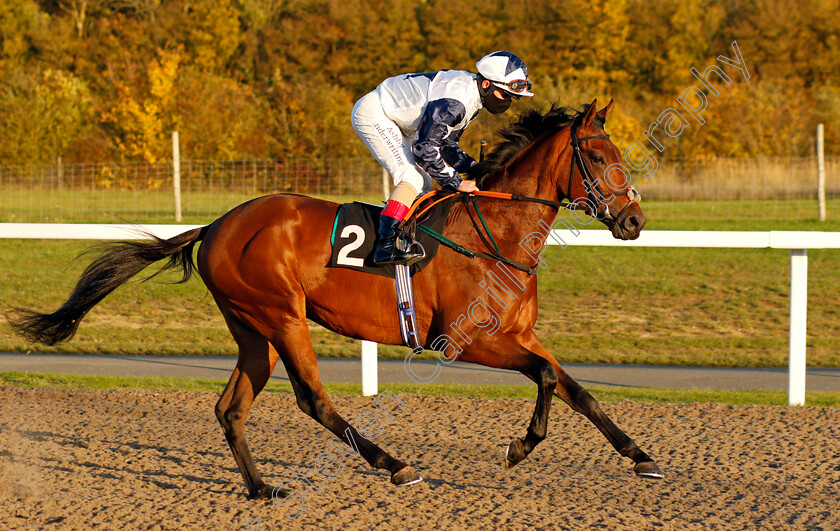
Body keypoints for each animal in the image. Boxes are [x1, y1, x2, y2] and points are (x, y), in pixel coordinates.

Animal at [8, 101, 664, 502]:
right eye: (599, 157)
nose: (633, 221)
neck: (496, 233)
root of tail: (217, 224)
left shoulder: (519, 336)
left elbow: (573, 386)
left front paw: (641, 456)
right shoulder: (465, 342)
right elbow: (548, 380)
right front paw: (520, 447)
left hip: (253, 330)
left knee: (230, 407)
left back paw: (261, 489)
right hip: (281, 316)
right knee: (312, 399)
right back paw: (394, 465)